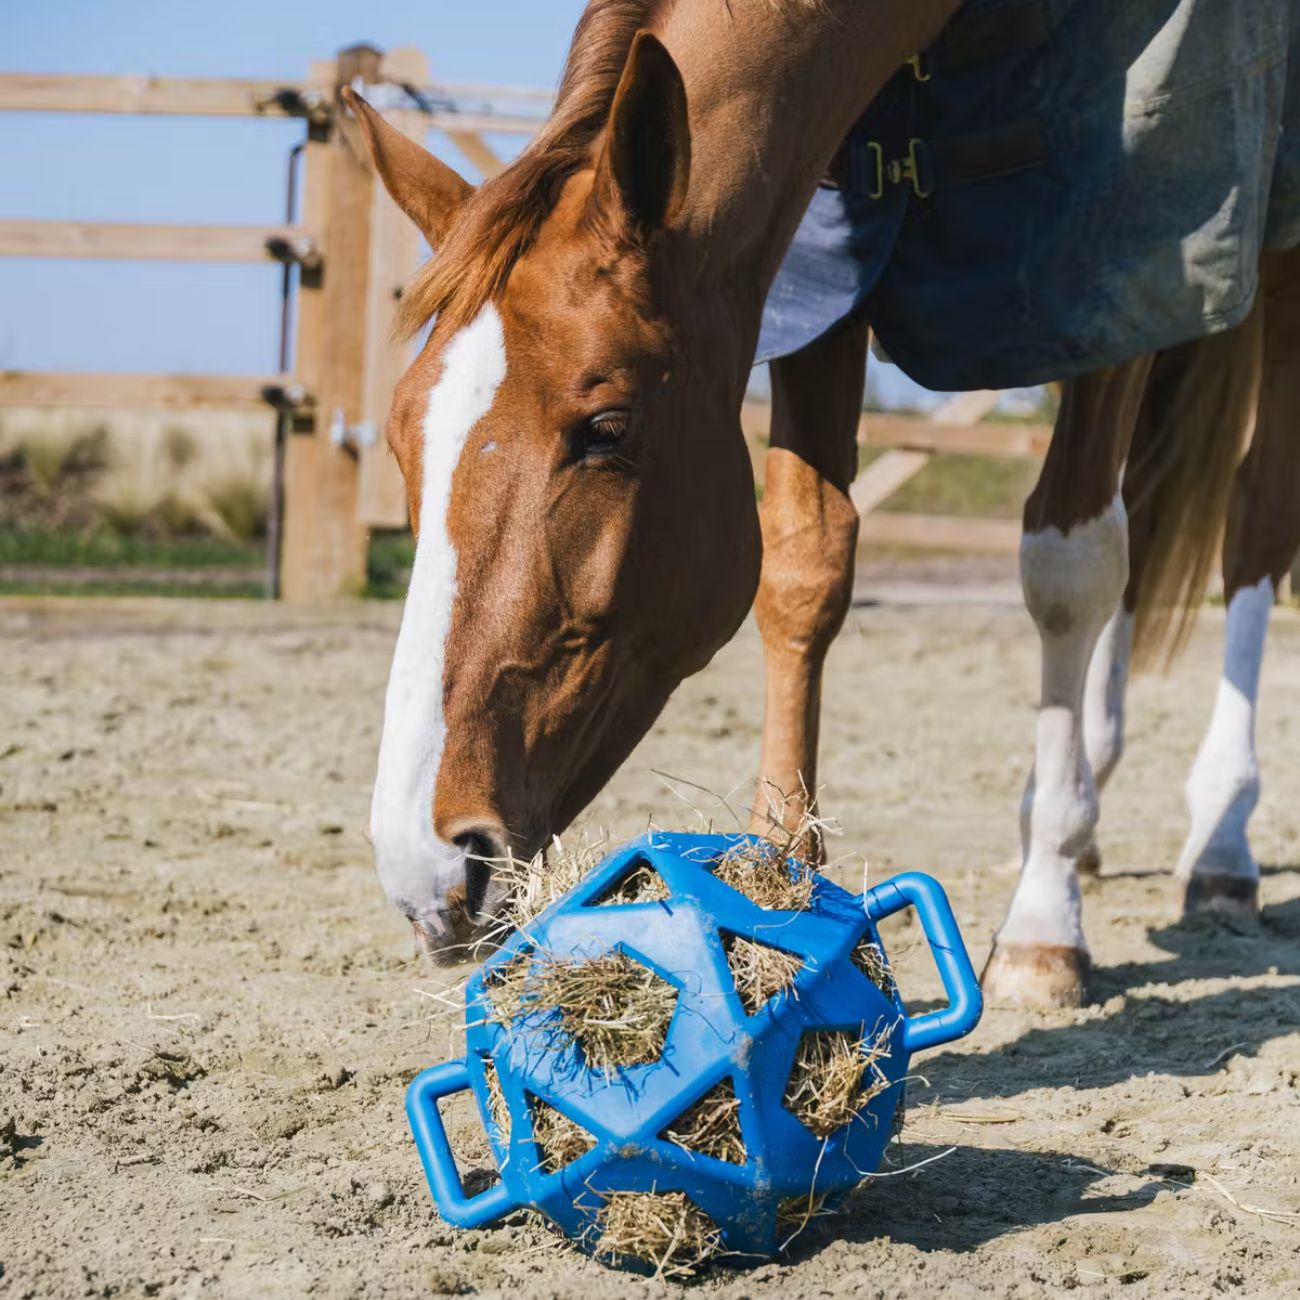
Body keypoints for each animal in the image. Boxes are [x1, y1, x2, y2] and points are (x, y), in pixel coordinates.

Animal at [349, 0, 1298, 1010]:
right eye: (402, 438)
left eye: (605, 426)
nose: (428, 868)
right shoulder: (826, 252)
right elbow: (803, 564)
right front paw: (777, 888)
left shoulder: (1111, 250)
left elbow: (1068, 567)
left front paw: (1045, 922)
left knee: (1254, 516)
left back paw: (1220, 838)